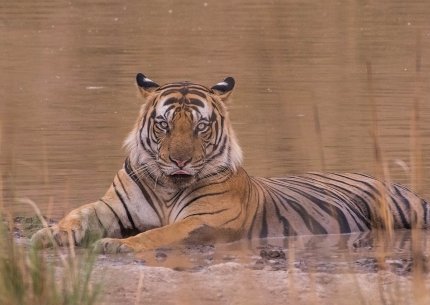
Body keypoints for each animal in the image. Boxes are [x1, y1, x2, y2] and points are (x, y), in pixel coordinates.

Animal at [30, 73, 430, 252]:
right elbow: (78, 214)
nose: (179, 159)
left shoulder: (206, 220)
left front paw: (118, 245)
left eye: (200, 126)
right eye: (164, 124)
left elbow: (162, 233)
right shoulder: (110, 206)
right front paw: (48, 234)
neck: (168, 186)